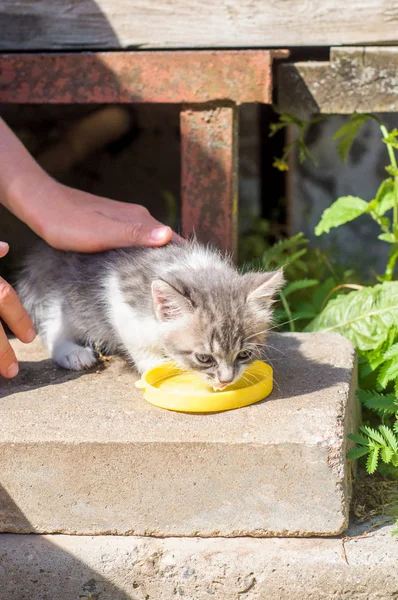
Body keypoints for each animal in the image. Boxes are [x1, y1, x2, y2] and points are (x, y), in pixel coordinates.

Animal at [15, 241, 282, 392]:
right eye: (204, 358)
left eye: (244, 354)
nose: (226, 380)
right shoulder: (120, 297)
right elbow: (138, 344)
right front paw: (155, 366)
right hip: (63, 296)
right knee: (53, 324)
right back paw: (72, 353)